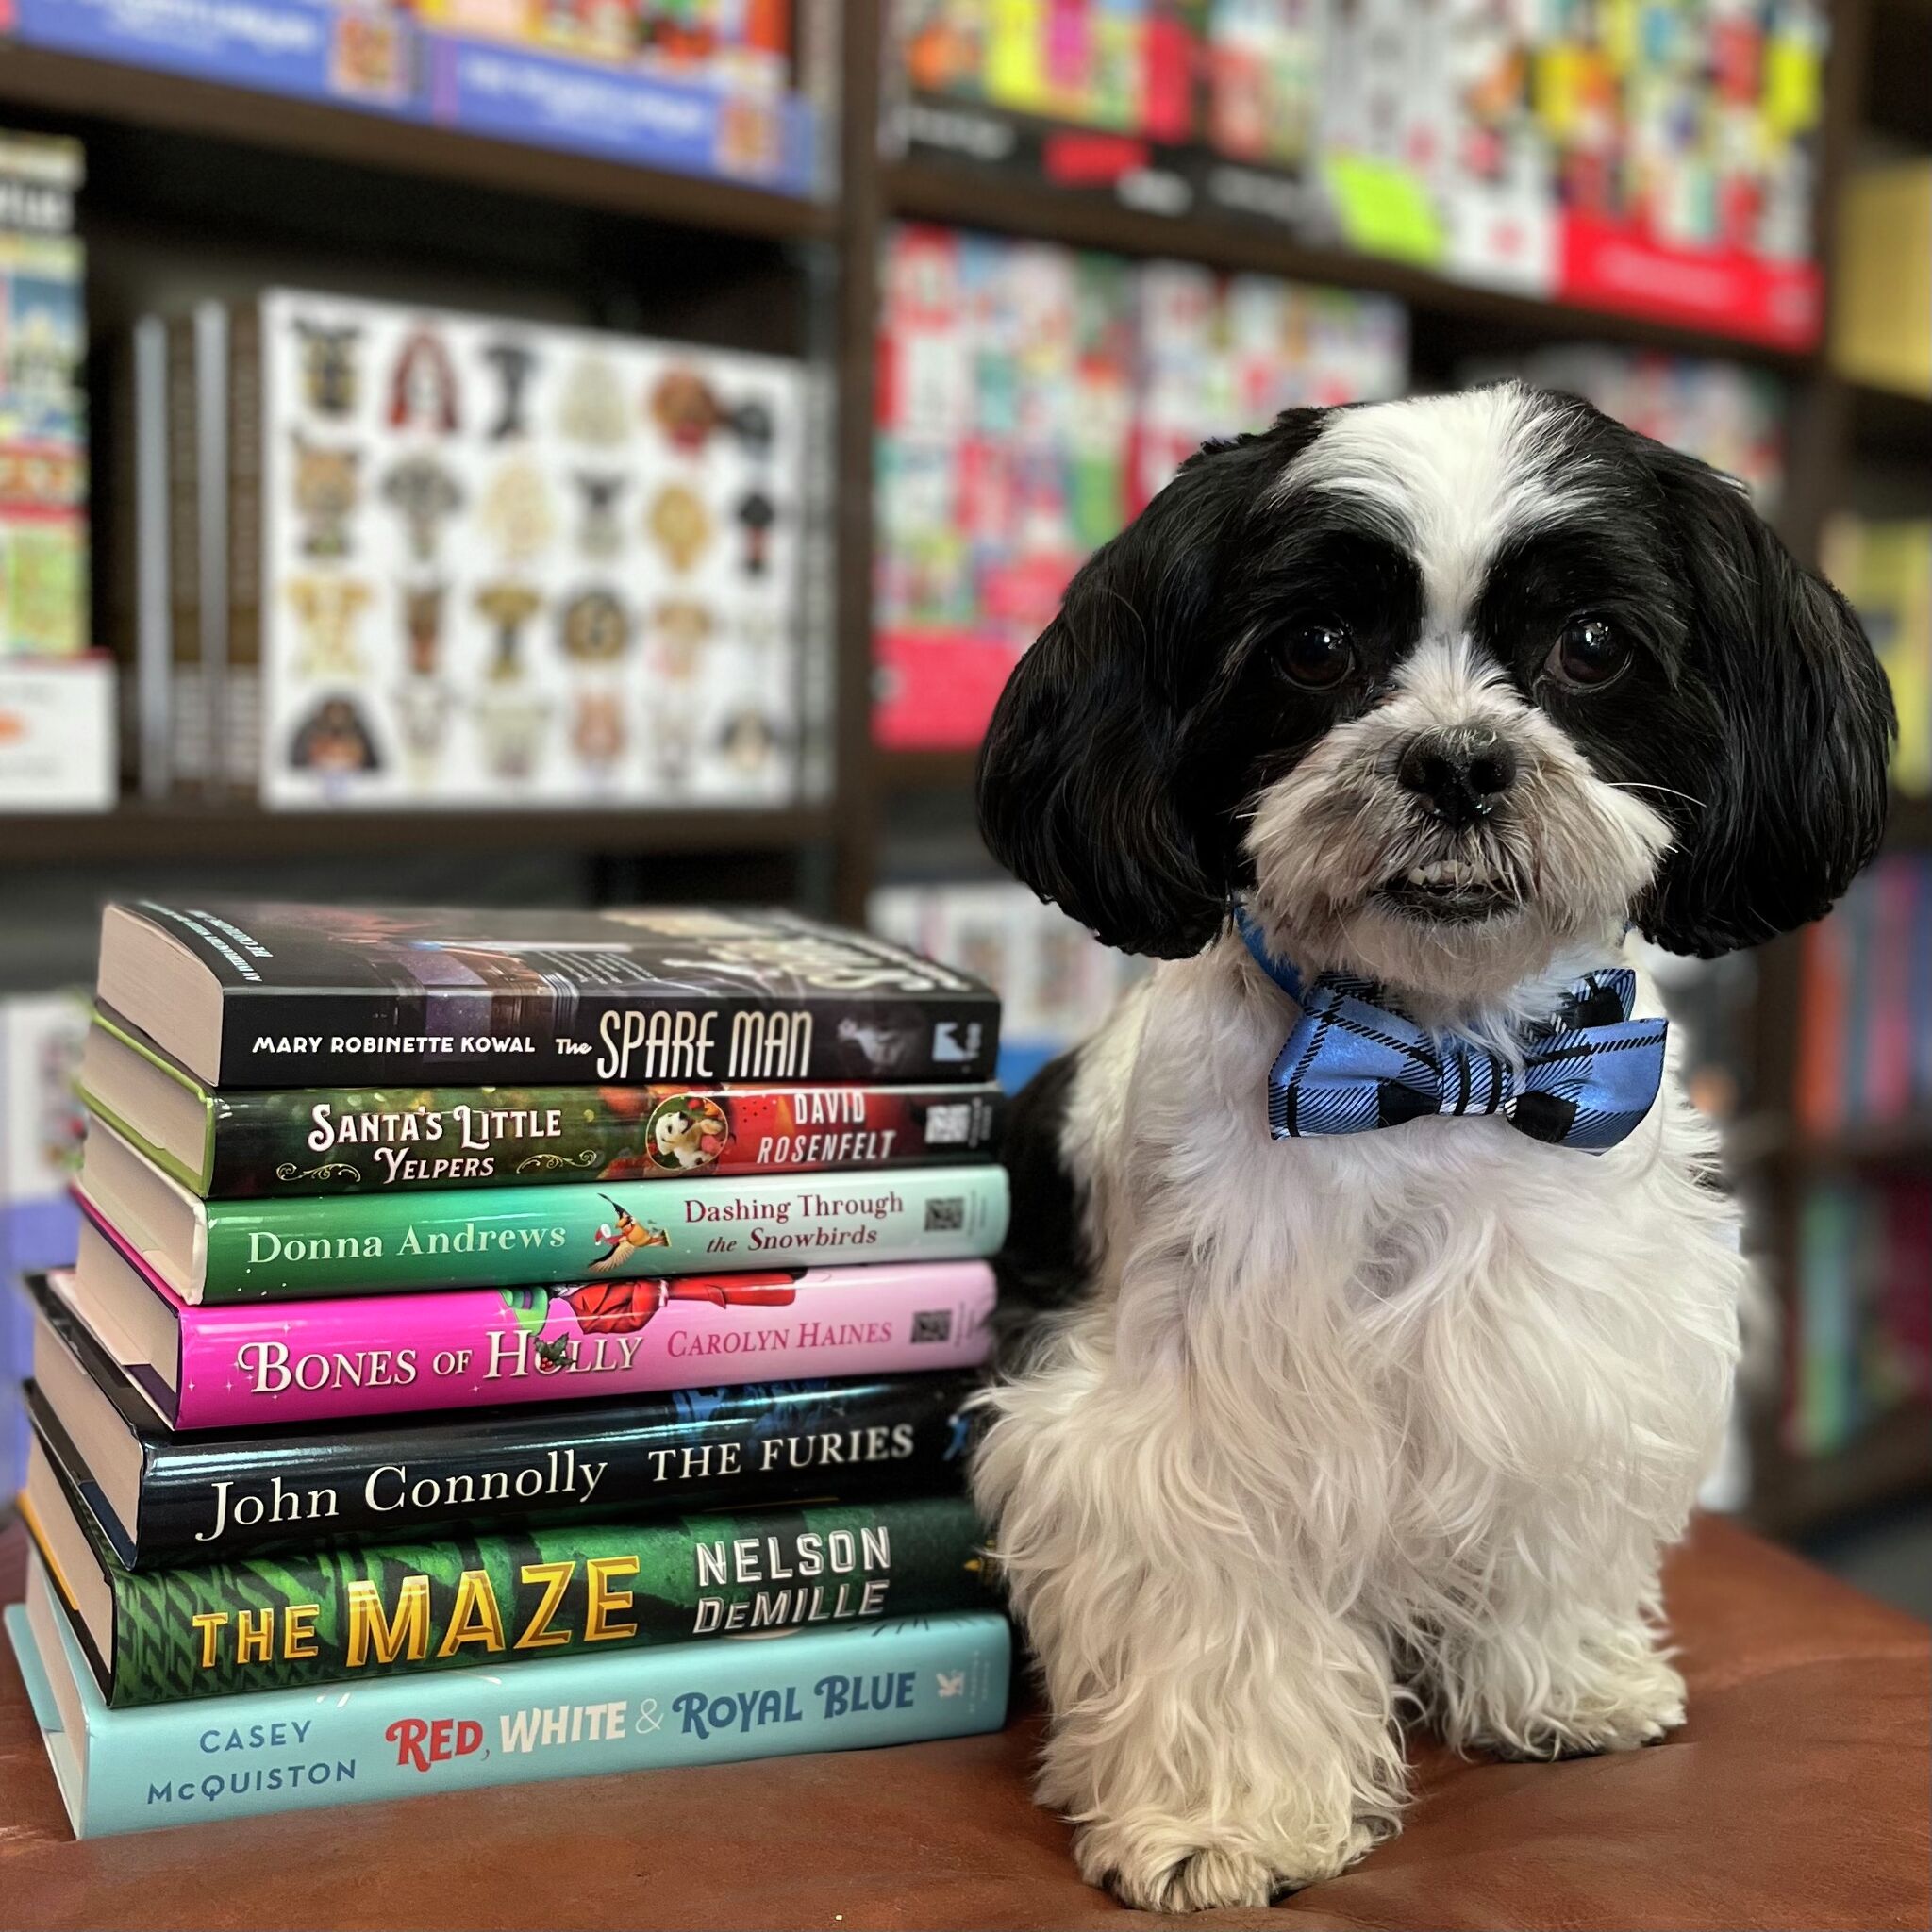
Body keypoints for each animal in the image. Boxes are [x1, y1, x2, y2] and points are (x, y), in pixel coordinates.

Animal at [966, 380, 1885, 1916]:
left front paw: (1563, 1683)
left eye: (1591, 645)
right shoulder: (1181, 1415)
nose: (1456, 758)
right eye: (1317, 647)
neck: (1446, 1066)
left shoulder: (1573, 1339)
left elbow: (1553, 1515)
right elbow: (1215, 1598)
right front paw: (1222, 1822)